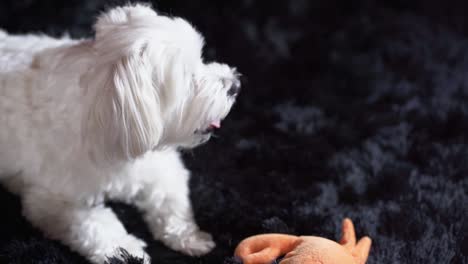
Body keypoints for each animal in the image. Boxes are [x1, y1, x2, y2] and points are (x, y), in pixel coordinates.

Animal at [0, 3, 239, 262]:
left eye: (201, 58)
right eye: (188, 76)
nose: (235, 85)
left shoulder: (159, 166)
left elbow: (170, 200)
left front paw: (188, 235)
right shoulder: (51, 199)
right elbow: (95, 225)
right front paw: (126, 251)